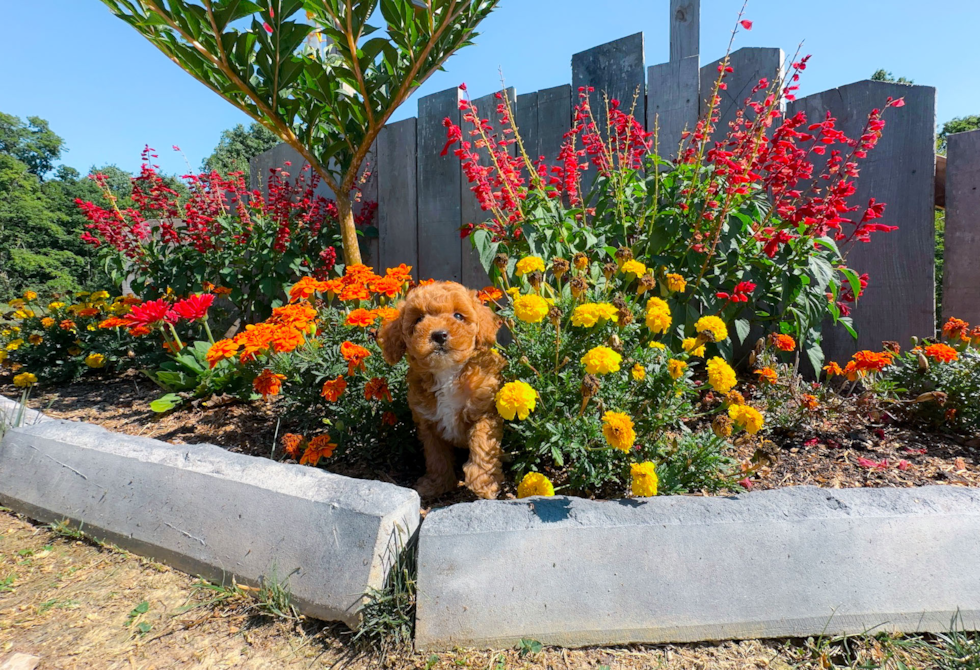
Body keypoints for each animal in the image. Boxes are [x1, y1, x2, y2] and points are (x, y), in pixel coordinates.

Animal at [380, 282, 506, 498]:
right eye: (419, 319)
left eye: (458, 316)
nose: (439, 335)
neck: (447, 372)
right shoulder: (428, 422)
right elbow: (435, 456)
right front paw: (437, 484)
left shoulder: (484, 412)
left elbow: (482, 445)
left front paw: (483, 484)